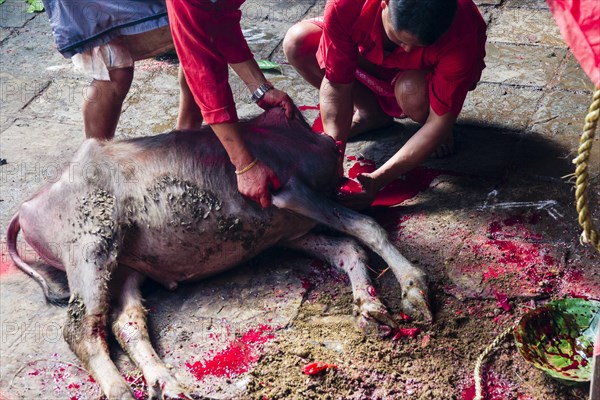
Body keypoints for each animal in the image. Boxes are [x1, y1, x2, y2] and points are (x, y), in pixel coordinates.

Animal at [8, 106, 432, 400]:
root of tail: (30, 202)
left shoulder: (289, 230)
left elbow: (347, 248)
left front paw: (371, 307)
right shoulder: (290, 191)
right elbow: (367, 228)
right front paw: (414, 289)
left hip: (125, 264)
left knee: (125, 323)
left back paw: (167, 384)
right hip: (91, 246)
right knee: (80, 328)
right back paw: (124, 391)